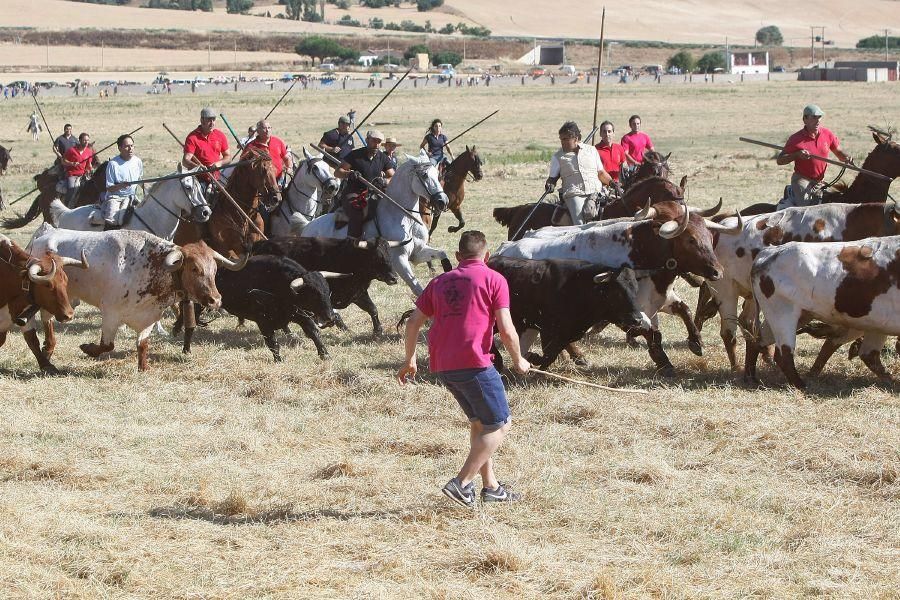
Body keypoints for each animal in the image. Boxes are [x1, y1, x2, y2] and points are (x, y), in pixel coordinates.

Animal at [1, 233, 87, 370]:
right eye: (48, 285)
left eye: (65, 281)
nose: (69, 315)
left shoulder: (23, 314)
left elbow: (32, 339)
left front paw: (47, 365)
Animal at [28, 223, 246, 368]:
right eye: (194, 268)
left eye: (215, 270)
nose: (215, 300)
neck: (150, 266)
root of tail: (46, 232)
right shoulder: (111, 314)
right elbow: (107, 345)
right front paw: (88, 348)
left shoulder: (149, 316)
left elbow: (142, 345)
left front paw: (143, 367)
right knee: (47, 320)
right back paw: (48, 349)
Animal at [302, 148, 450, 292]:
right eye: (424, 175)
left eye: (437, 174)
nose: (443, 201)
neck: (406, 219)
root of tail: (307, 227)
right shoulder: (399, 260)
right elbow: (417, 289)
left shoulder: (417, 253)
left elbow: (442, 253)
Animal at [748, 236, 900, 390]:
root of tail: (770, 251)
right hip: (782, 313)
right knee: (783, 355)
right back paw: (801, 386)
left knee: (756, 341)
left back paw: (750, 378)